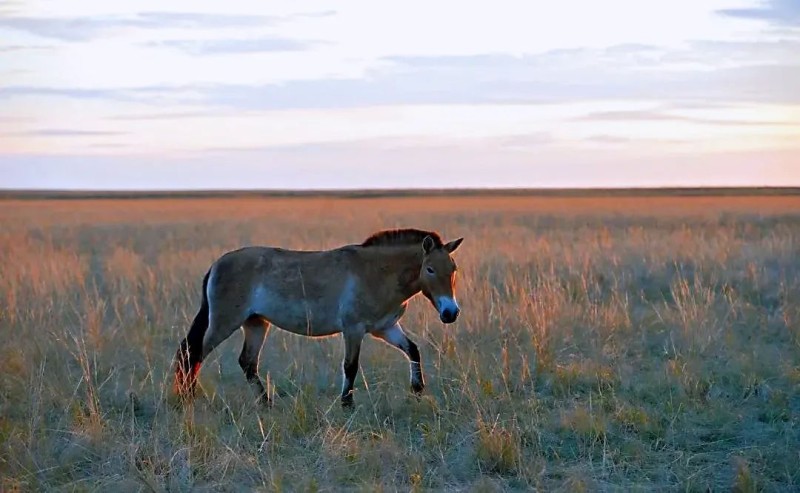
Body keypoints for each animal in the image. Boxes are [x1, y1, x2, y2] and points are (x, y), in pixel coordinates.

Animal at [174, 229, 462, 406]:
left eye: (453, 268)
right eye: (430, 269)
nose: (451, 313)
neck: (377, 272)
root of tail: (217, 265)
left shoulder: (386, 328)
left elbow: (413, 350)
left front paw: (417, 389)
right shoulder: (354, 329)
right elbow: (350, 366)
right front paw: (347, 404)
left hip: (255, 323)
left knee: (247, 362)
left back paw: (266, 403)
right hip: (224, 323)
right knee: (194, 355)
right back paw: (188, 398)